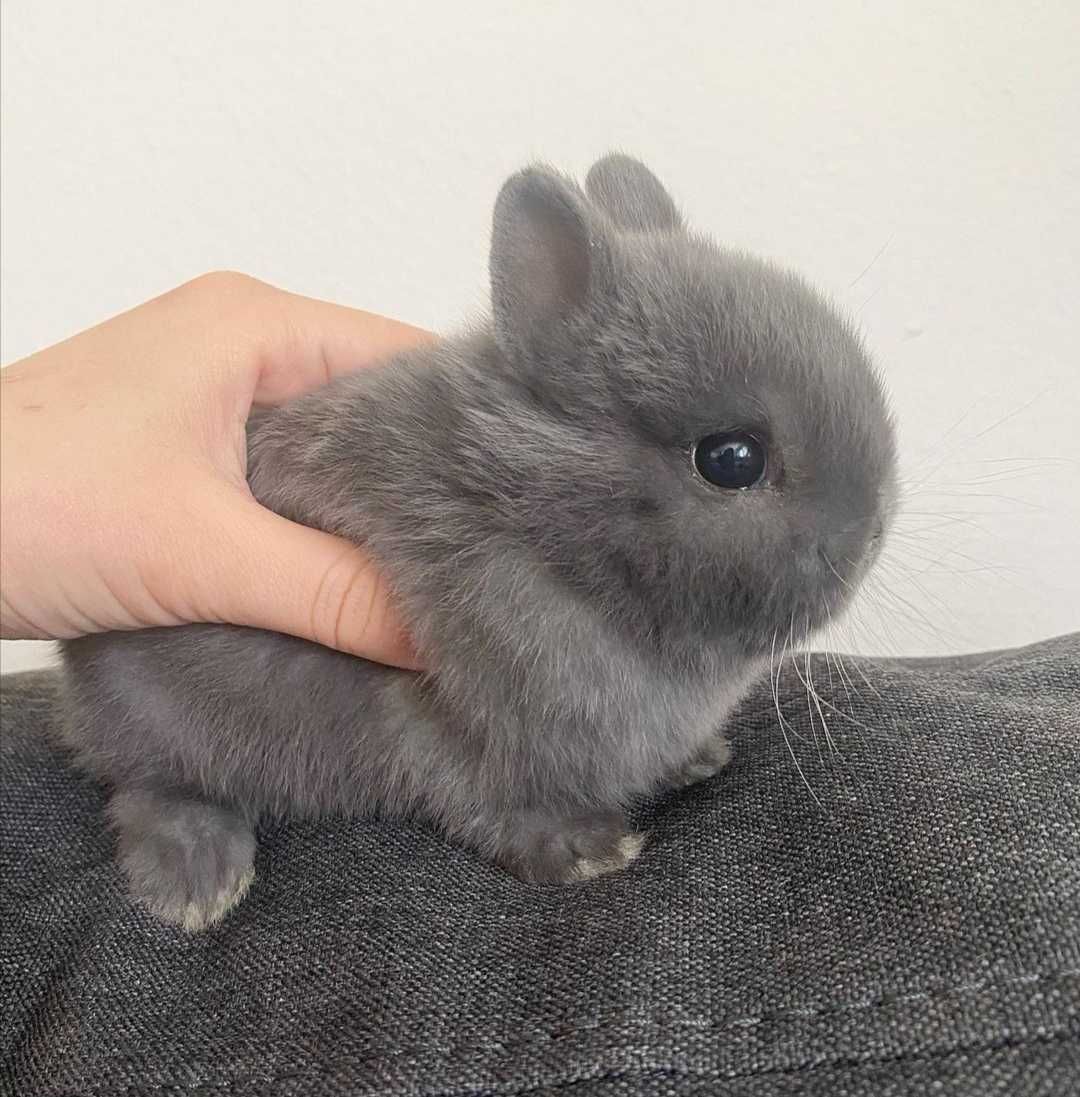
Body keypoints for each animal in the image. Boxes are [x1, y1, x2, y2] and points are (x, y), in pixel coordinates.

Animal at [63, 152, 899, 925]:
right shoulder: (445, 720)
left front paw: (697, 759)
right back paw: (198, 882)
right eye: (731, 460)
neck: (549, 539)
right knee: (147, 789)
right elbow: (484, 800)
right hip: (162, 719)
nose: (869, 538)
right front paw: (589, 849)